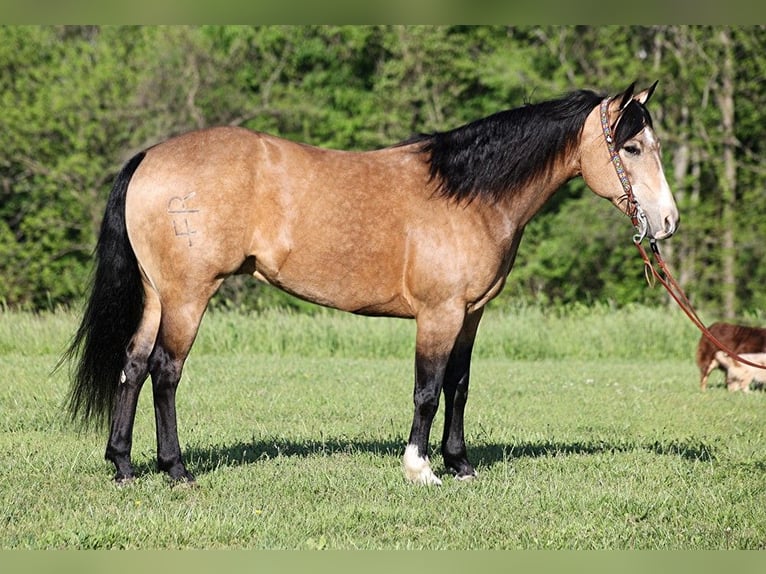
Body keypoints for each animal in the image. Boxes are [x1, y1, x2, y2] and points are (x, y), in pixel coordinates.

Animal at [64, 83, 680, 488]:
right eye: (631, 148)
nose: (668, 222)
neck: (469, 193)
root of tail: (149, 157)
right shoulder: (439, 314)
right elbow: (427, 390)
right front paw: (420, 468)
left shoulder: (470, 314)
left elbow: (458, 386)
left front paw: (460, 464)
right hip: (188, 297)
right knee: (165, 371)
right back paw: (176, 470)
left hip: (156, 295)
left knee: (132, 365)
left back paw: (123, 466)